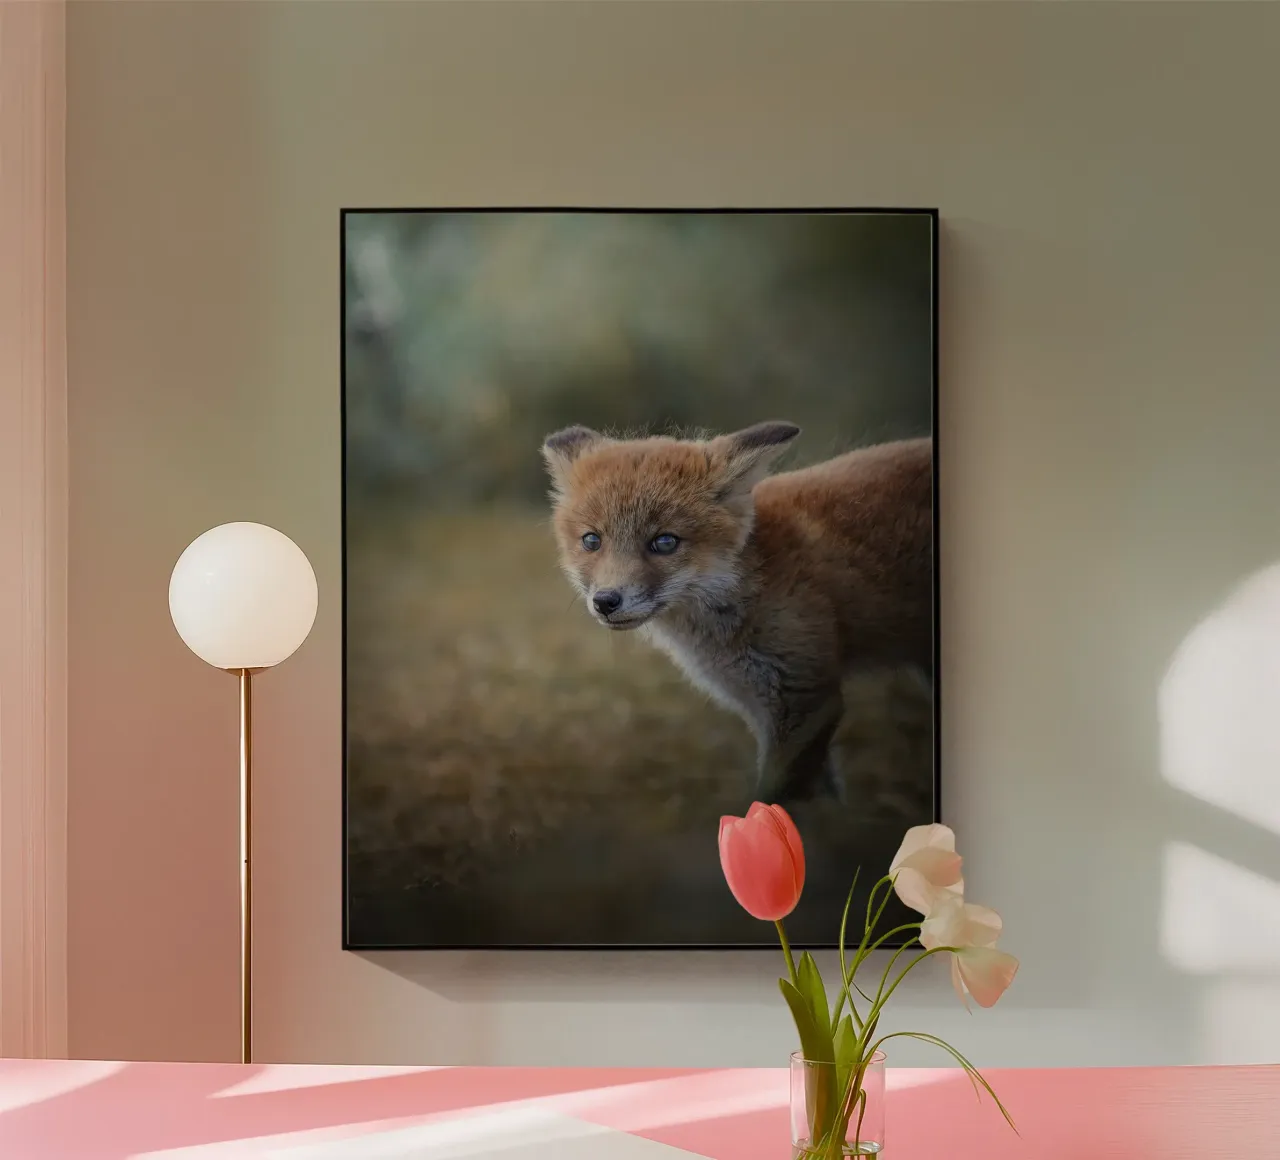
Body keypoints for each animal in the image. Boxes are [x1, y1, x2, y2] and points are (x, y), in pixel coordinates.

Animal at [541, 421, 933, 804]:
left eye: (664, 542)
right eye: (592, 540)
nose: (606, 601)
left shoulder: (805, 699)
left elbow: (775, 800)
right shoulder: (765, 707)